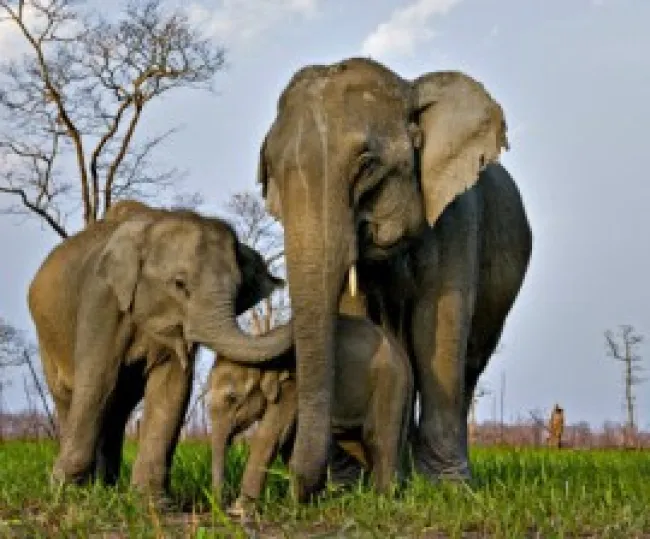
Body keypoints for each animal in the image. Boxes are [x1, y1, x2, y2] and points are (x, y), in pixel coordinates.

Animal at [27, 201, 293, 494]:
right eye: (179, 284)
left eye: (237, 289)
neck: (156, 221)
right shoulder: (101, 299)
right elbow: (98, 379)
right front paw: (63, 491)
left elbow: (173, 386)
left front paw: (152, 499)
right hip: (46, 336)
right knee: (69, 396)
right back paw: (87, 488)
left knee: (118, 407)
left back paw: (107, 487)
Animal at [209, 314, 413, 513]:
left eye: (232, 398)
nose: (222, 506)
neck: (259, 344)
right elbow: (287, 439)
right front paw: (308, 500)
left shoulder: (293, 386)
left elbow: (271, 435)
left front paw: (241, 509)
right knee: (358, 441)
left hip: (390, 380)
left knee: (377, 436)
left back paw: (380, 500)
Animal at [256, 57, 533, 498]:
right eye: (270, 172)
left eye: (367, 165)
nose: (299, 487)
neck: (409, 88)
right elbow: (357, 317)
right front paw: (350, 486)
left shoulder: (456, 214)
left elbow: (437, 328)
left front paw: (445, 491)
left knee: (470, 363)